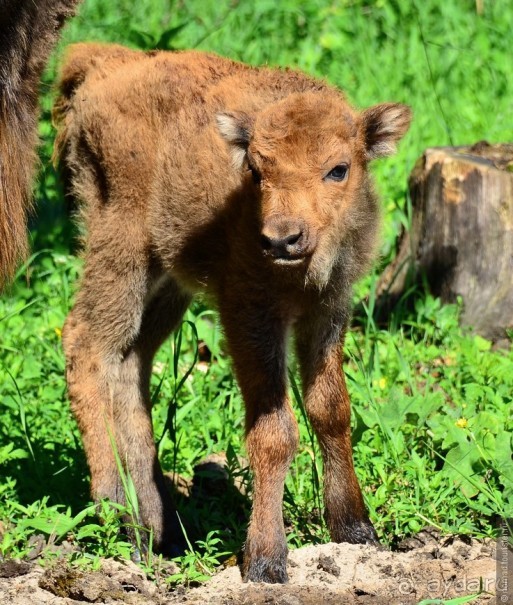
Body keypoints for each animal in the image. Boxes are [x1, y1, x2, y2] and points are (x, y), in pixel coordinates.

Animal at [54, 44, 410, 584]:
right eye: (257, 171)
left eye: (339, 169)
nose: (282, 239)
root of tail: (105, 61)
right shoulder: (250, 316)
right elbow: (275, 432)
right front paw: (265, 560)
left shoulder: (328, 311)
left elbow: (331, 410)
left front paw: (356, 529)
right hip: (121, 249)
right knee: (87, 344)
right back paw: (118, 516)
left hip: (166, 281)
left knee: (130, 362)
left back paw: (156, 526)